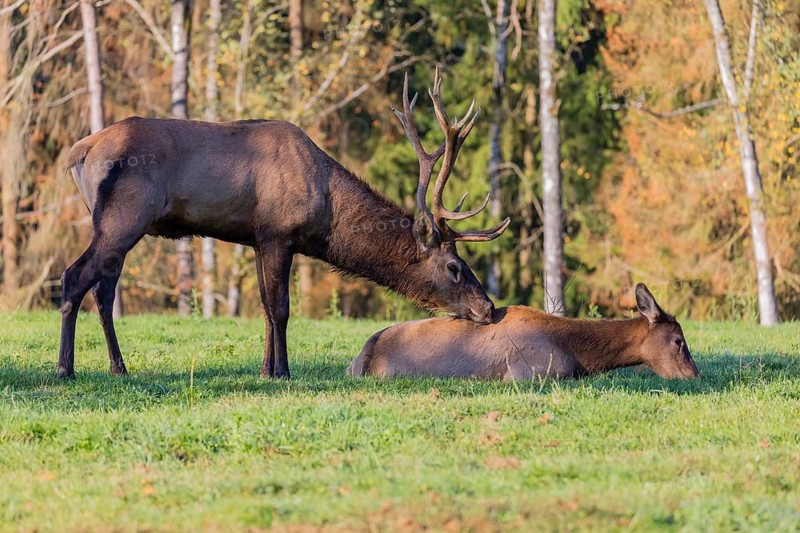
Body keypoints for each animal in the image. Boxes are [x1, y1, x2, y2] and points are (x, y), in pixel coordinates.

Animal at [59, 67, 509, 379]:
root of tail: (80, 151)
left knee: (103, 290)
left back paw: (118, 367)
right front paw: (282, 371)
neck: (326, 210)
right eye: (454, 266)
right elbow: (280, 307)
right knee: (74, 276)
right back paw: (66, 368)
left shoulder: (257, 239)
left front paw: (264, 369)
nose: (488, 308)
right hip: (124, 217)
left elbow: (262, 305)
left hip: (115, 224)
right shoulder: (279, 234)